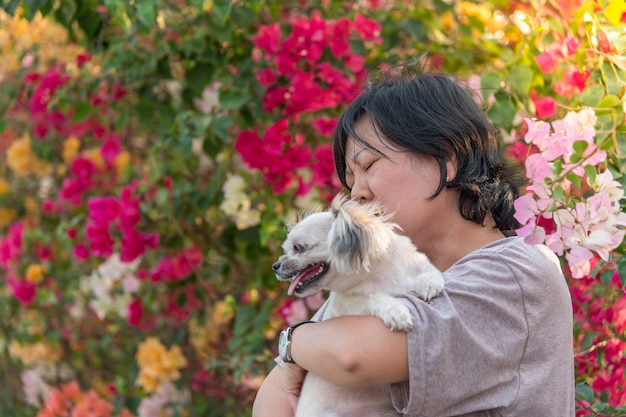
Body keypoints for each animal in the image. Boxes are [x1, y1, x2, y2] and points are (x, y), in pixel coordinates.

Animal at [272, 193, 444, 414]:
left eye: (299, 248)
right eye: (288, 249)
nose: (275, 265)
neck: (381, 274)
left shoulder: (418, 264)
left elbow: (429, 271)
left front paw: (430, 283)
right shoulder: (354, 303)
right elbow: (374, 297)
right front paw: (395, 310)